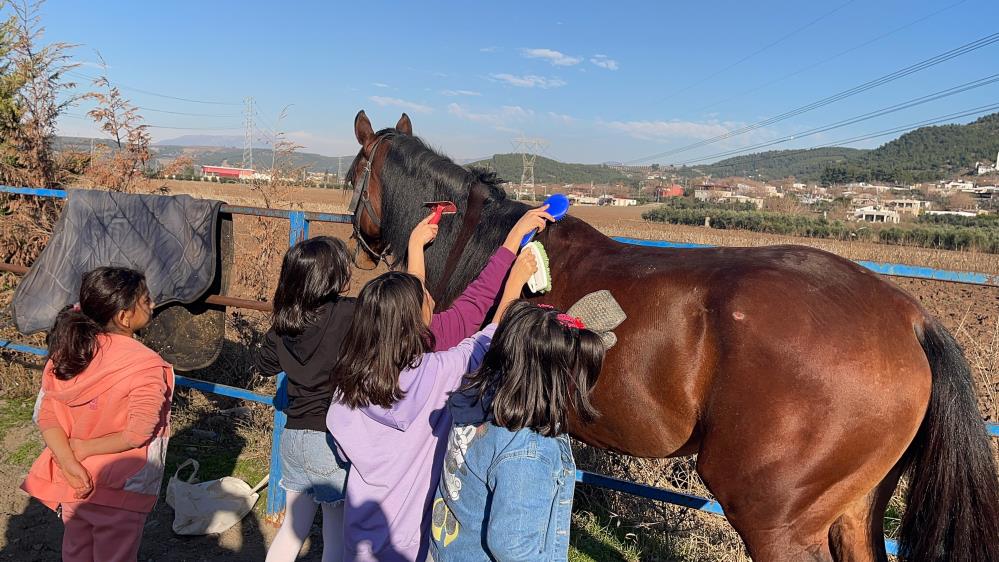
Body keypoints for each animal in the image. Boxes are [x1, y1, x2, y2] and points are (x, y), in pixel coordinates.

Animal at [344, 110, 999, 560]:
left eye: (352, 174)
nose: (359, 251)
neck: (486, 249)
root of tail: (909, 318)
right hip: (855, 512)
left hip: (777, 521)